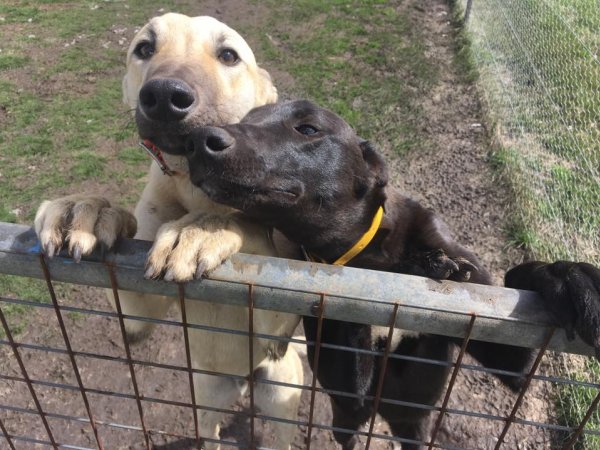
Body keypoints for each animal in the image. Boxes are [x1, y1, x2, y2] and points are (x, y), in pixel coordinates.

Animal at [185, 100, 600, 448]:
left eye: (308, 129)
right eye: (248, 117)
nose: (199, 140)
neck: (370, 255)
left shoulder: (505, 342)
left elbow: (517, 281)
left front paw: (570, 279)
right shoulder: (349, 390)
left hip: (411, 422)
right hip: (349, 420)